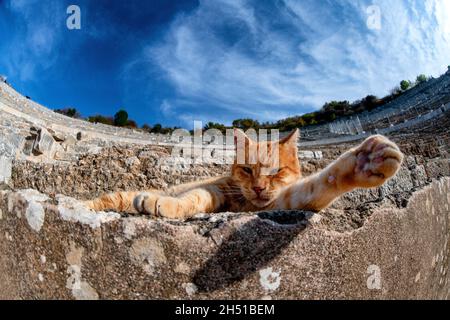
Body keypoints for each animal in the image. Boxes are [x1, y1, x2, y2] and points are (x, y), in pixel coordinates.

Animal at [86, 129, 402, 219]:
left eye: (276, 172)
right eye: (248, 169)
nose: (259, 187)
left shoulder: (279, 202)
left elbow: (321, 184)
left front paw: (364, 163)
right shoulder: (215, 190)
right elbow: (193, 198)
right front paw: (166, 204)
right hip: (117, 197)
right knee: (102, 201)